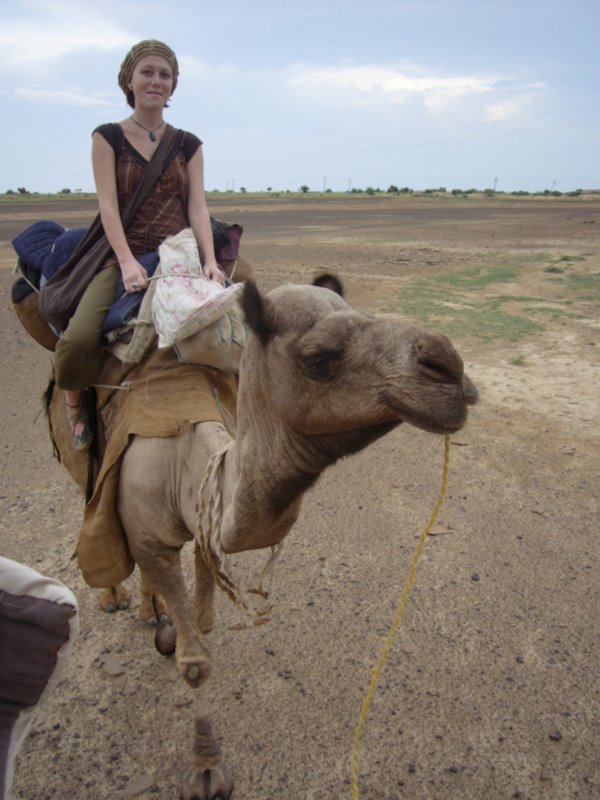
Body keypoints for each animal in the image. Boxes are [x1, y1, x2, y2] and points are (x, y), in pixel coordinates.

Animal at [47, 278, 476, 799]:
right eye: (318, 356)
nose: (448, 368)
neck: (183, 461)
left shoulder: (204, 518)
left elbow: (204, 620)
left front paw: (175, 629)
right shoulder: (153, 535)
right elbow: (197, 662)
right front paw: (206, 771)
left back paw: (156, 613)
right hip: (77, 454)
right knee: (91, 507)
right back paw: (118, 597)